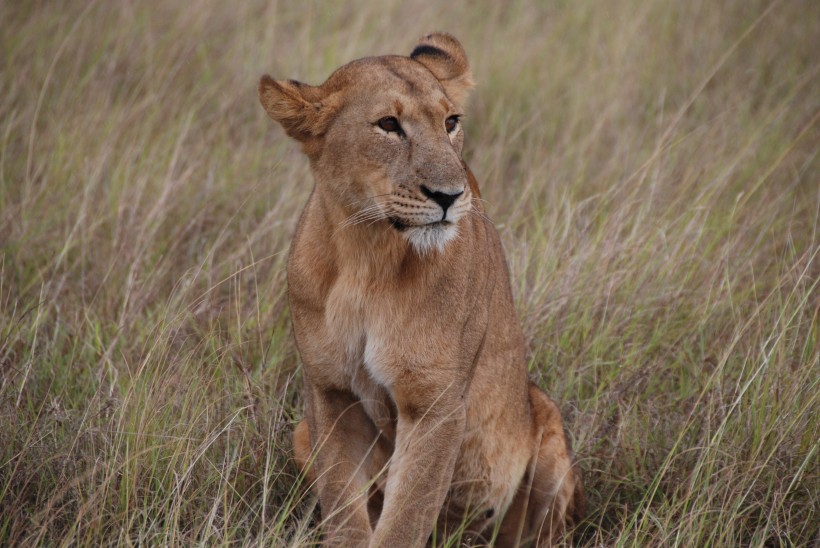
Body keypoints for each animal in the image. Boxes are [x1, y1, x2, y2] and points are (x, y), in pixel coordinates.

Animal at [256, 32, 584, 544]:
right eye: (389, 125)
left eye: (450, 122)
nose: (449, 196)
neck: (365, 258)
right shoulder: (330, 393)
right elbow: (344, 510)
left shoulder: (435, 406)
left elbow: (406, 517)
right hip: (301, 431)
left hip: (545, 427)